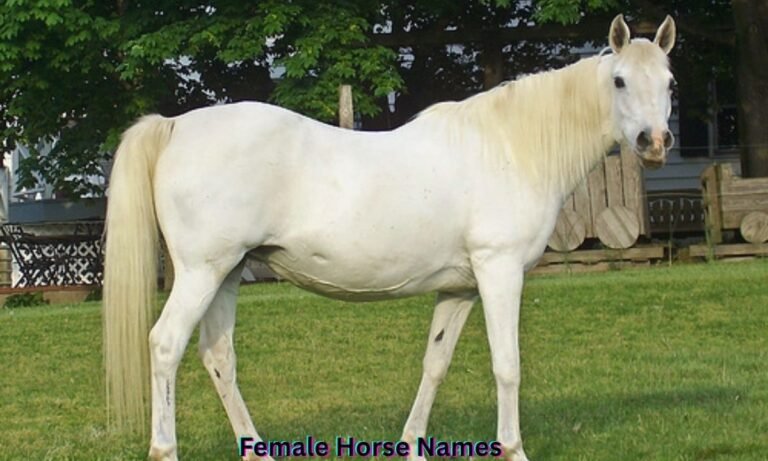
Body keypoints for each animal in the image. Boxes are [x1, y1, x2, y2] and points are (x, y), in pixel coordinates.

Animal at [103, 14, 676, 461]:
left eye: (669, 82)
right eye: (620, 81)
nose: (654, 142)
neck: (509, 147)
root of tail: (175, 126)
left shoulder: (460, 287)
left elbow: (435, 364)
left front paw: (412, 444)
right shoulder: (499, 272)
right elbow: (507, 365)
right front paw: (513, 448)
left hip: (227, 273)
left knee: (219, 358)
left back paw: (256, 448)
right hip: (201, 273)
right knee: (165, 345)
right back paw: (164, 449)